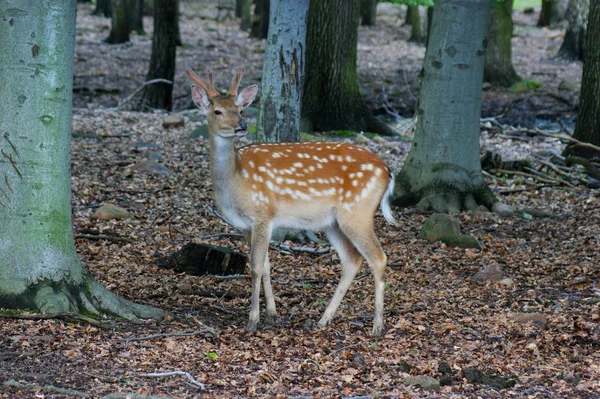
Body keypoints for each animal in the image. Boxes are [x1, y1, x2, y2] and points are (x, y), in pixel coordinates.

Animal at [185, 66, 396, 338]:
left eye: (240, 109)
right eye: (217, 111)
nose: (242, 125)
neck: (236, 181)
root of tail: (387, 171)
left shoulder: (263, 213)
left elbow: (255, 267)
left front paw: (252, 321)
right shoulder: (244, 225)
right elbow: (265, 265)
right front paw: (272, 315)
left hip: (357, 211)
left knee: (378, 258)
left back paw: (377, 326)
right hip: (332, 222)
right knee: (352, 260)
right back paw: (323, 320)